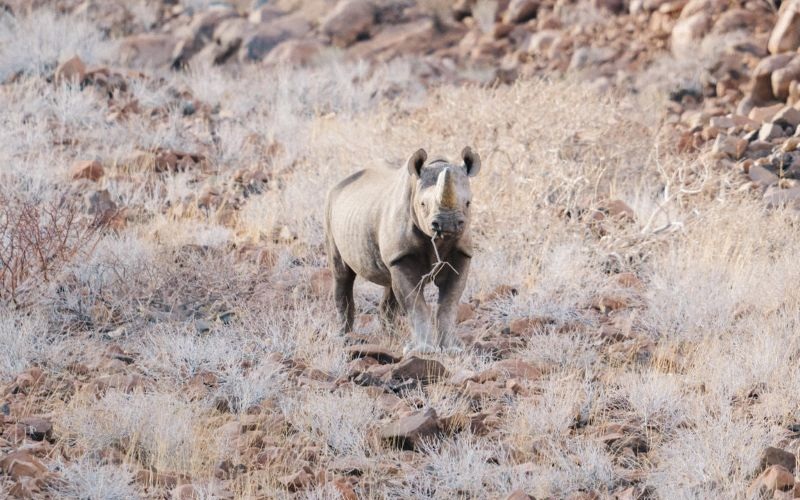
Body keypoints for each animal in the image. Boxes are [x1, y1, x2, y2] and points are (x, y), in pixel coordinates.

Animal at [324, 147, 481, 354]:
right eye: (422, 204)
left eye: (468, 203)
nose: (447, 224)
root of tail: (338, 184)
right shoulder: (402, 255)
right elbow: (415, 304)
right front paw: (423, 350)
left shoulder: (462, 253)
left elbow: (449, 303)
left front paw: (452, 350)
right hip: (330, 209)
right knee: (342, 273)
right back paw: (343, 338)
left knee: (390, 283)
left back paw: (391, 338)